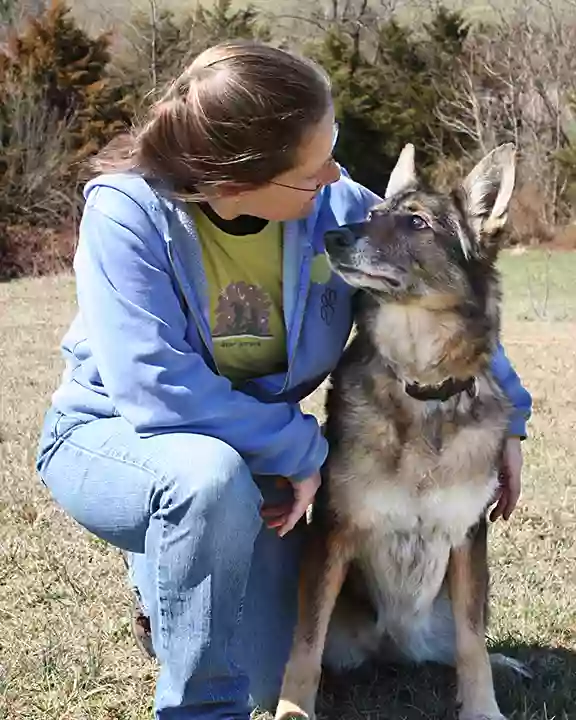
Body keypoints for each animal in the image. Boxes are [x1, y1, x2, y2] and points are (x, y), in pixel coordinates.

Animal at [276, 145, 524, 720]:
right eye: (372, 213)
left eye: (416, 222)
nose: (334, 236)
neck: (422, 391)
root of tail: (395, 645)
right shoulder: (333, 533)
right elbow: (305, 645)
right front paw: (292, 711)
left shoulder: (467, 541)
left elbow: (473, 646)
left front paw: (483, 709)